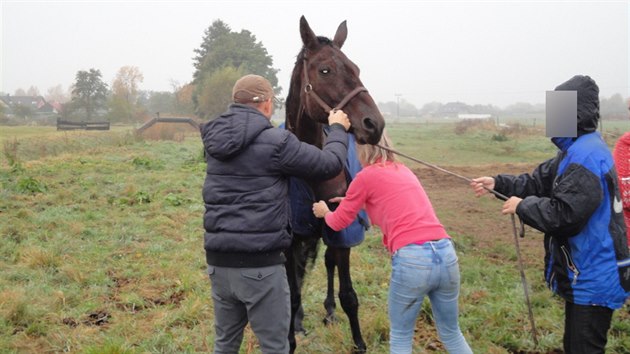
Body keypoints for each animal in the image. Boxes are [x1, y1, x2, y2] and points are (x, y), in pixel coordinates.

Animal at [286, 15, 386, 354]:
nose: (374, 124)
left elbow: (349, 296)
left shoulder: (340, 229)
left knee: (328, 263)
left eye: (356, 68)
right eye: (325, 70)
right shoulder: (291, 239)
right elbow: (293, 293)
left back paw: (328, 311)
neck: (311, 160)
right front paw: (290, 335)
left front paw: (359, 343)